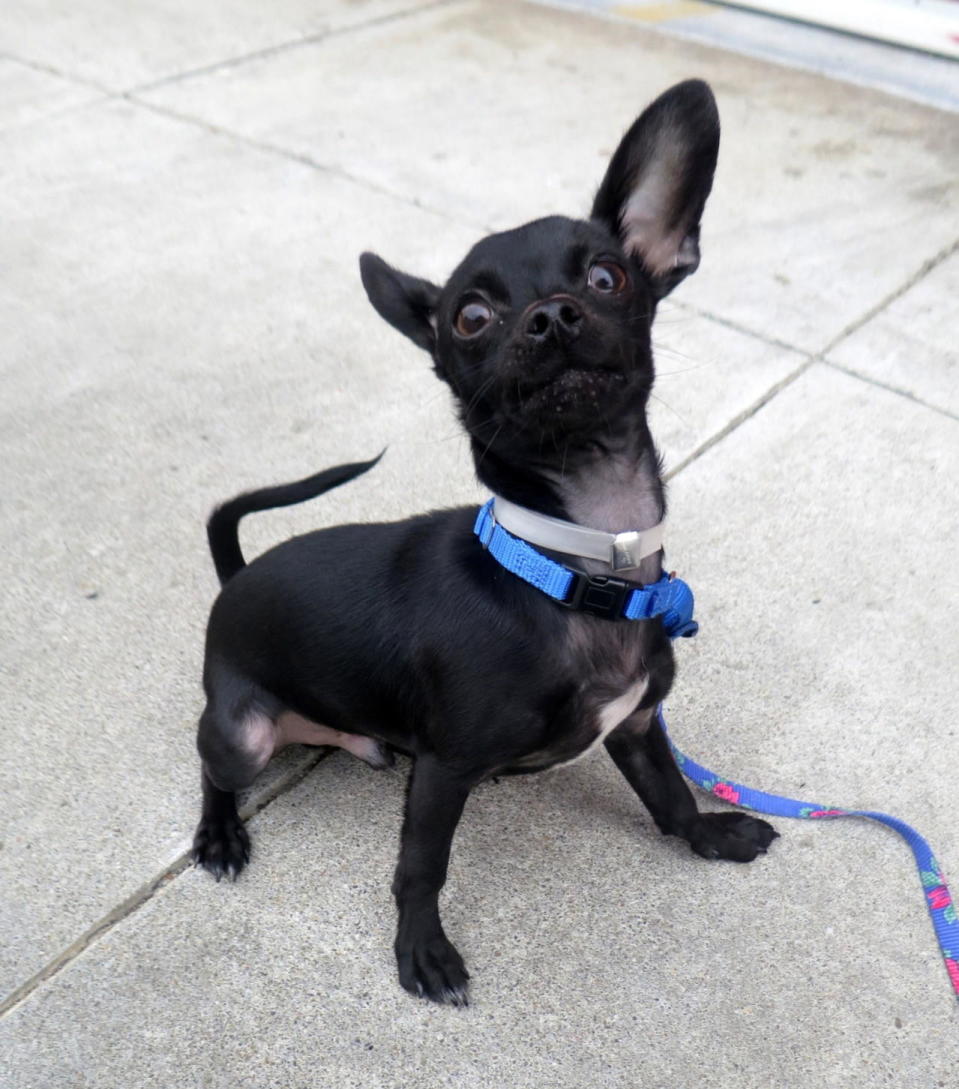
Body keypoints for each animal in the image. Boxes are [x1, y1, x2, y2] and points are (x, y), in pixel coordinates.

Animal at [192, 82, 779, 1001]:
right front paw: (421, 947)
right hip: (241, 731)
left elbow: (669, 798)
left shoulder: (638, 725)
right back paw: (218, 834)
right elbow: (419, 867)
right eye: (469, 316)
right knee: (212, 765)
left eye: (606, 275)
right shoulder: (444, 768)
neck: (579, 565)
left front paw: (708, 834)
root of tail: (234, 579)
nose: (552, 316)